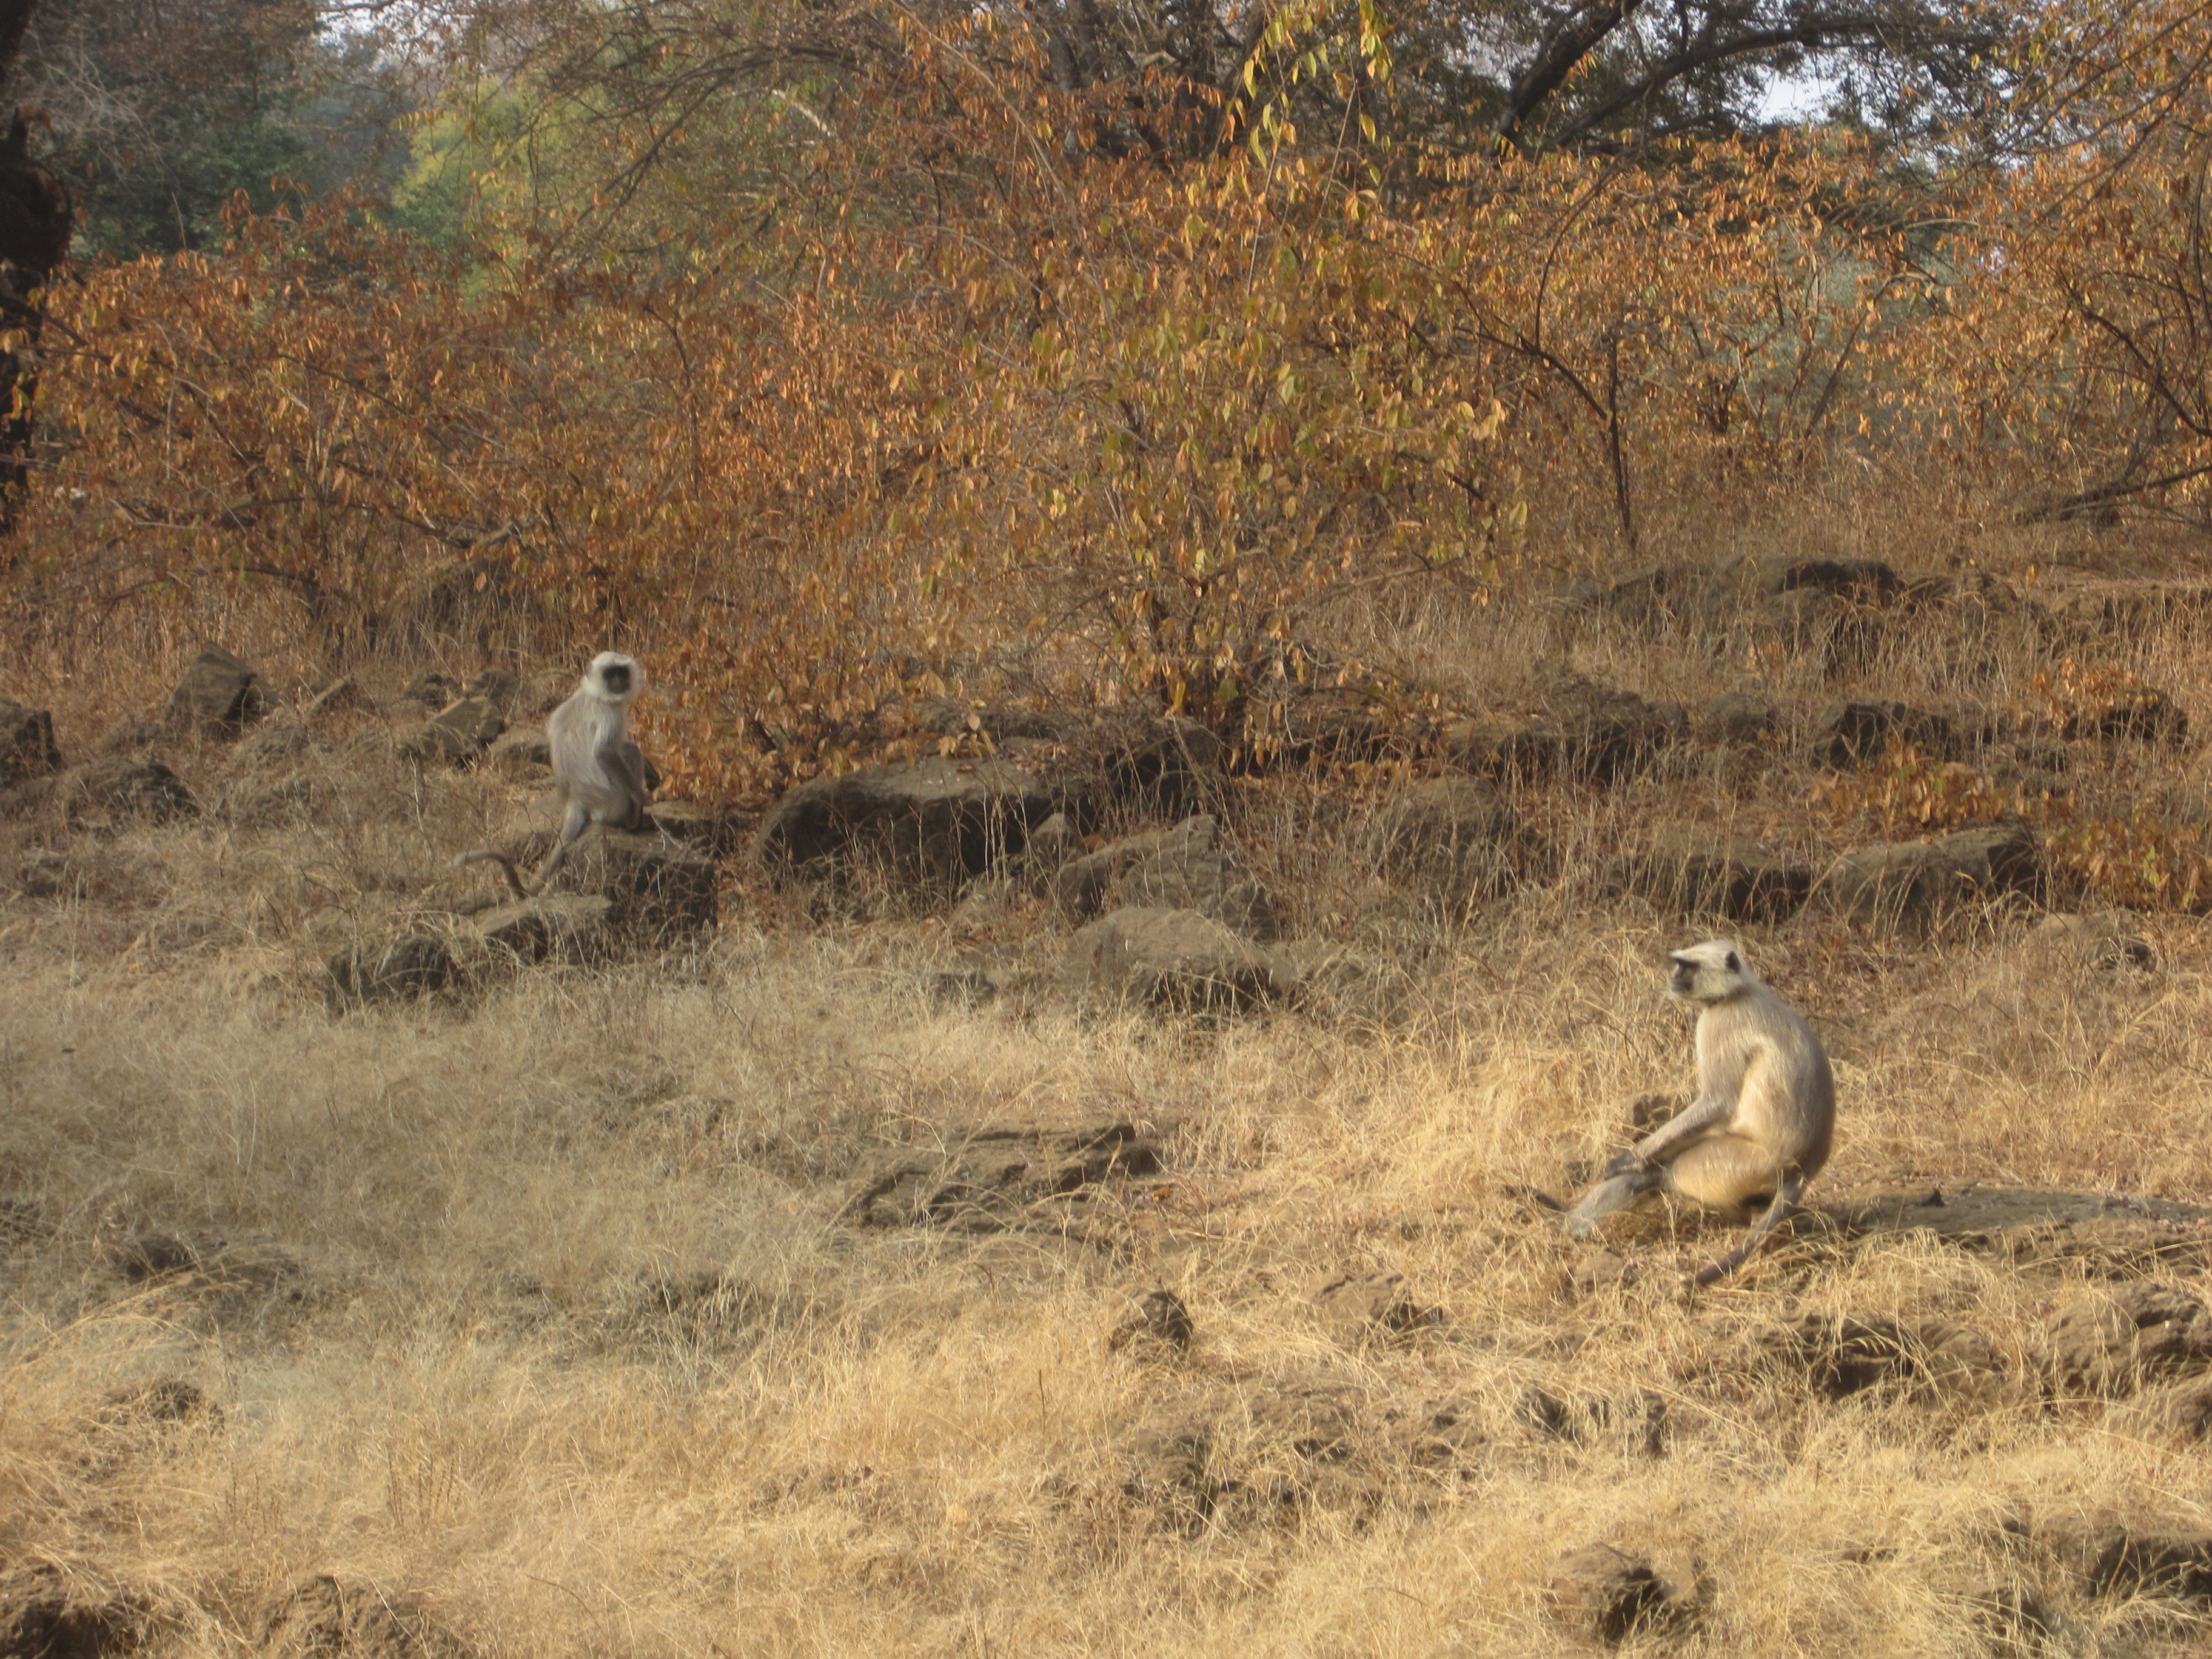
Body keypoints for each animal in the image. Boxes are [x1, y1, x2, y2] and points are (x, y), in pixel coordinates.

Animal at [453, 654, 646, 902]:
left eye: (621, 672)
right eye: (609, 674)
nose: (618, 681)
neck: (592, 693)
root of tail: (576, 801)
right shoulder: (609, 711)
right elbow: (605, 753)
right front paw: (640, 798)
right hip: (616, 803)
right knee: (629, 751)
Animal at [1566, 942, 1840, 1292]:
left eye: (1689, 966)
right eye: (1679, 964)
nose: (1674, 976)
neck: (1738, 992)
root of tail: (1805, 1166)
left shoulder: (1718, 1023)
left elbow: (1718, 1102)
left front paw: (1625, 1160)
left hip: (1743, 1162)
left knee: (1666, 1171)